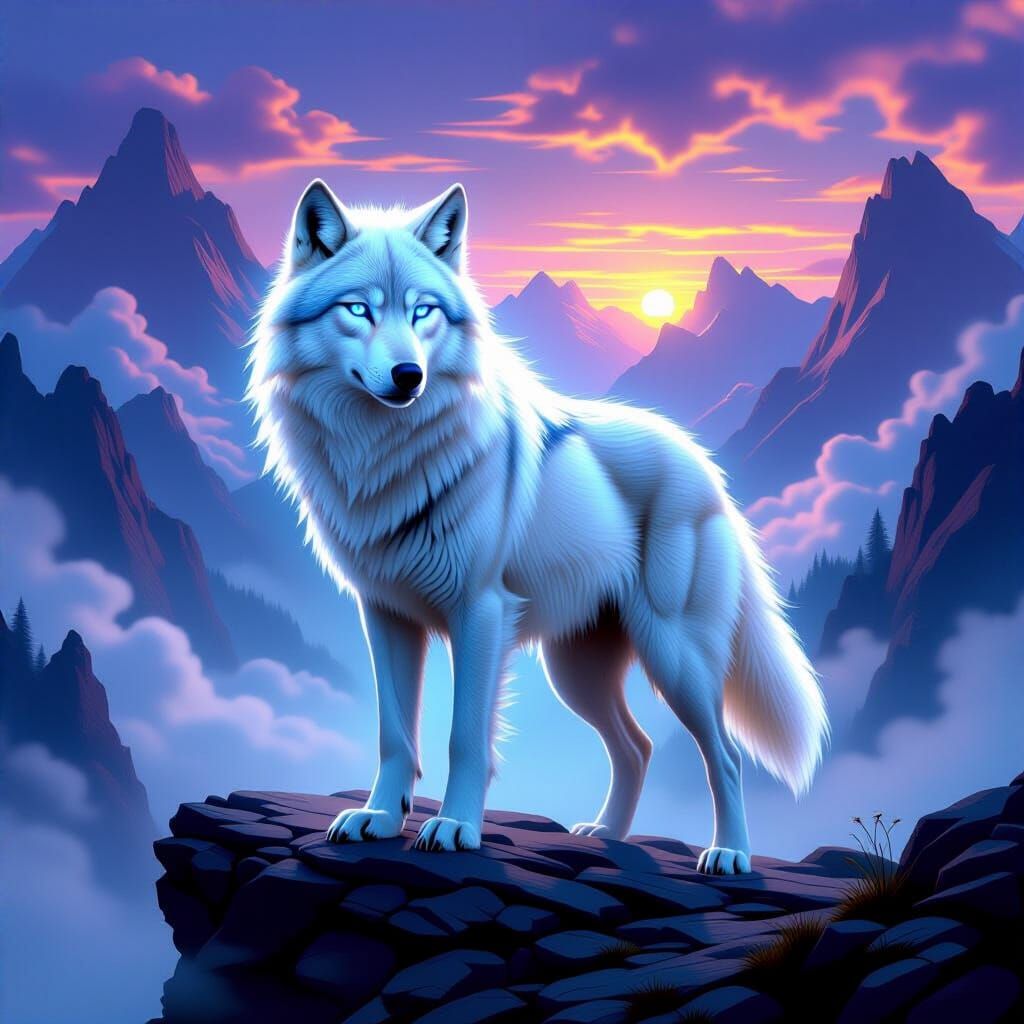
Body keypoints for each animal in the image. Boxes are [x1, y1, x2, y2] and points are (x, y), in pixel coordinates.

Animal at [247, 180, 828, 873]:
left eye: (423, 313)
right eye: (359, 310)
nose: (409, 375)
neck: (385, 457)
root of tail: (707, 468)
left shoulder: (480, 613)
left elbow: (464, 737)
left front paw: (454, 827)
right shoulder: (384, 615)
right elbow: (395, 734)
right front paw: (380, 819)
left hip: (675, 657)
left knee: (727, 755)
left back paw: (730, 854)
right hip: (576, 671)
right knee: (637, 746)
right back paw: (607, 835)